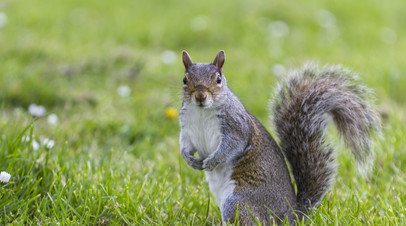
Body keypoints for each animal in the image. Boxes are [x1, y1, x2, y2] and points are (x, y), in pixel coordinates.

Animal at [178, 50, 380, 225]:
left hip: (238, 202)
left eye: (218, 79)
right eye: (185, 79)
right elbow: (185, 146)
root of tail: (292, 215)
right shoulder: (187, 129)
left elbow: (232, 146)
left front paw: (212, 160)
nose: (200, 97)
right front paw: (190, 160)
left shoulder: (237, 127)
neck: (202, 112)